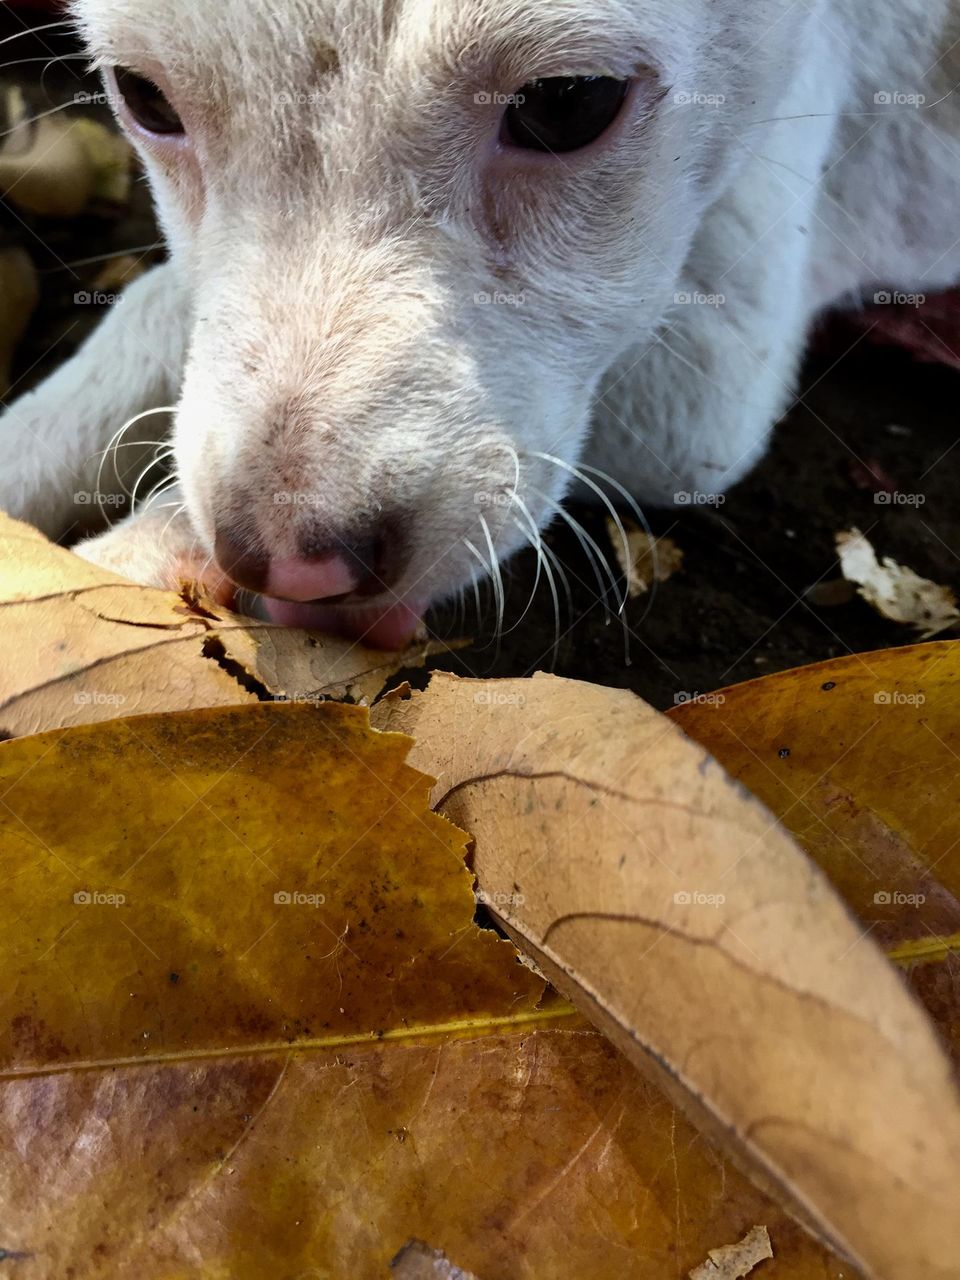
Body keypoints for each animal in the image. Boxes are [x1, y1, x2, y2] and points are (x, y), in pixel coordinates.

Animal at [1, 0, 960, 640]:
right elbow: (161, 302)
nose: (294, 566)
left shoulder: (708, 385)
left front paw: (116, 566)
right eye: (143, 97)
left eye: (569, 102)